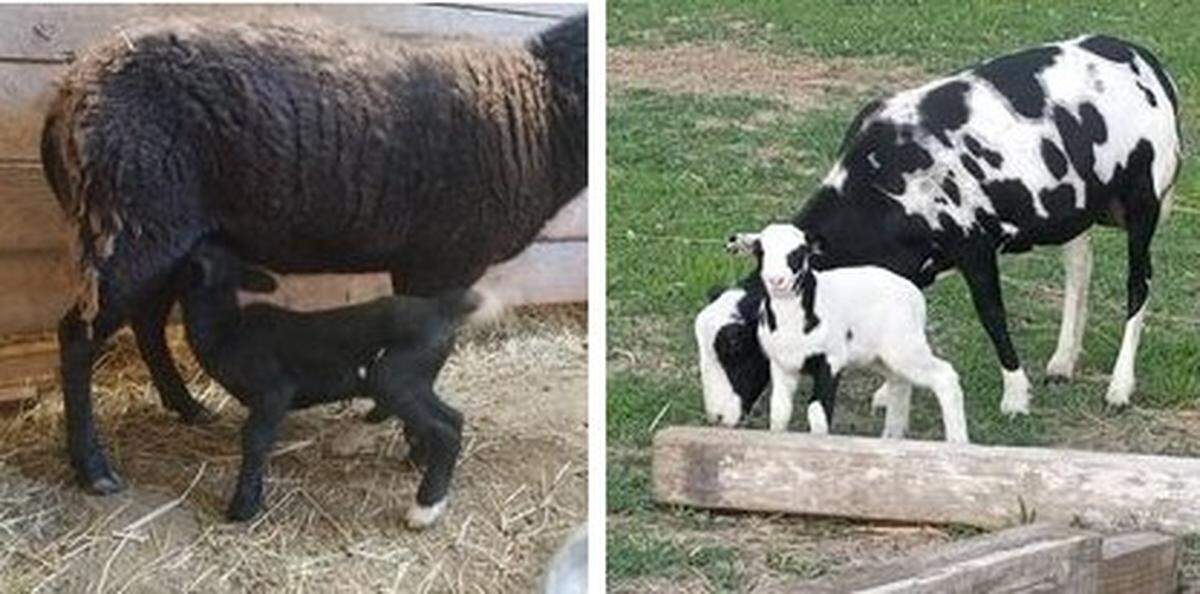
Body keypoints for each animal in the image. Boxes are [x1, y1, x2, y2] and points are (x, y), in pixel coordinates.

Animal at [40, 13, 587, 494]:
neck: (536, 111)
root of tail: (68, 94)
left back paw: (189, 408)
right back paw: (93, 469)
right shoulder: (444, 259)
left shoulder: (418, 261)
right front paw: (416, 446)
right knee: (79, 337)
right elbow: (429, 348)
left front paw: (386, 417)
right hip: (132, 223)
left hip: (167, 235)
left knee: (148, 321)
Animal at [178, 238, 478, 527]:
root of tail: (440, 309)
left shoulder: (273, 392)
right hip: (415, 379)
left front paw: (243, 507)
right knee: (453, 417)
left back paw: (424, 510)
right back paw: (419, 463)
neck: (226, 330)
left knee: (444, 430)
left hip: (395, 376)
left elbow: (255, 439)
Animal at [728, 224, 969, 442]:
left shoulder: (831, 361)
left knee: (944, 376)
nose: (776, 280)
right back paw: (891, 437)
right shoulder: (782, 364)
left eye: (799, 252)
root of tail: (914, 294)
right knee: (899, 382)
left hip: (905, 346)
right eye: (760, 252)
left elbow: (817, 414)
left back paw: (957, 442)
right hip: (880, 355)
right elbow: (779, 412)